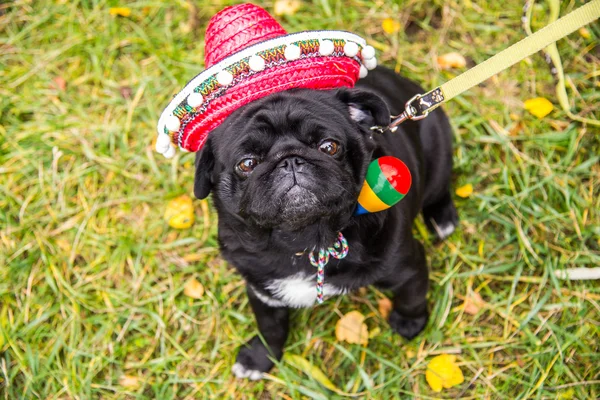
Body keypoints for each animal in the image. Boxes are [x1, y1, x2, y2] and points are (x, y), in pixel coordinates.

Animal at [195, 65, 458, 378]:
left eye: (329, 147)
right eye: (247, 164)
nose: (289, 160)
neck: (305, 239)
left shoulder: (407, 266)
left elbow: (412, 297)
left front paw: (409, 324)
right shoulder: (261, 289)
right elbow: (270, 327)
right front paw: (260, 358)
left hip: (439, 152)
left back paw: (443, 218)